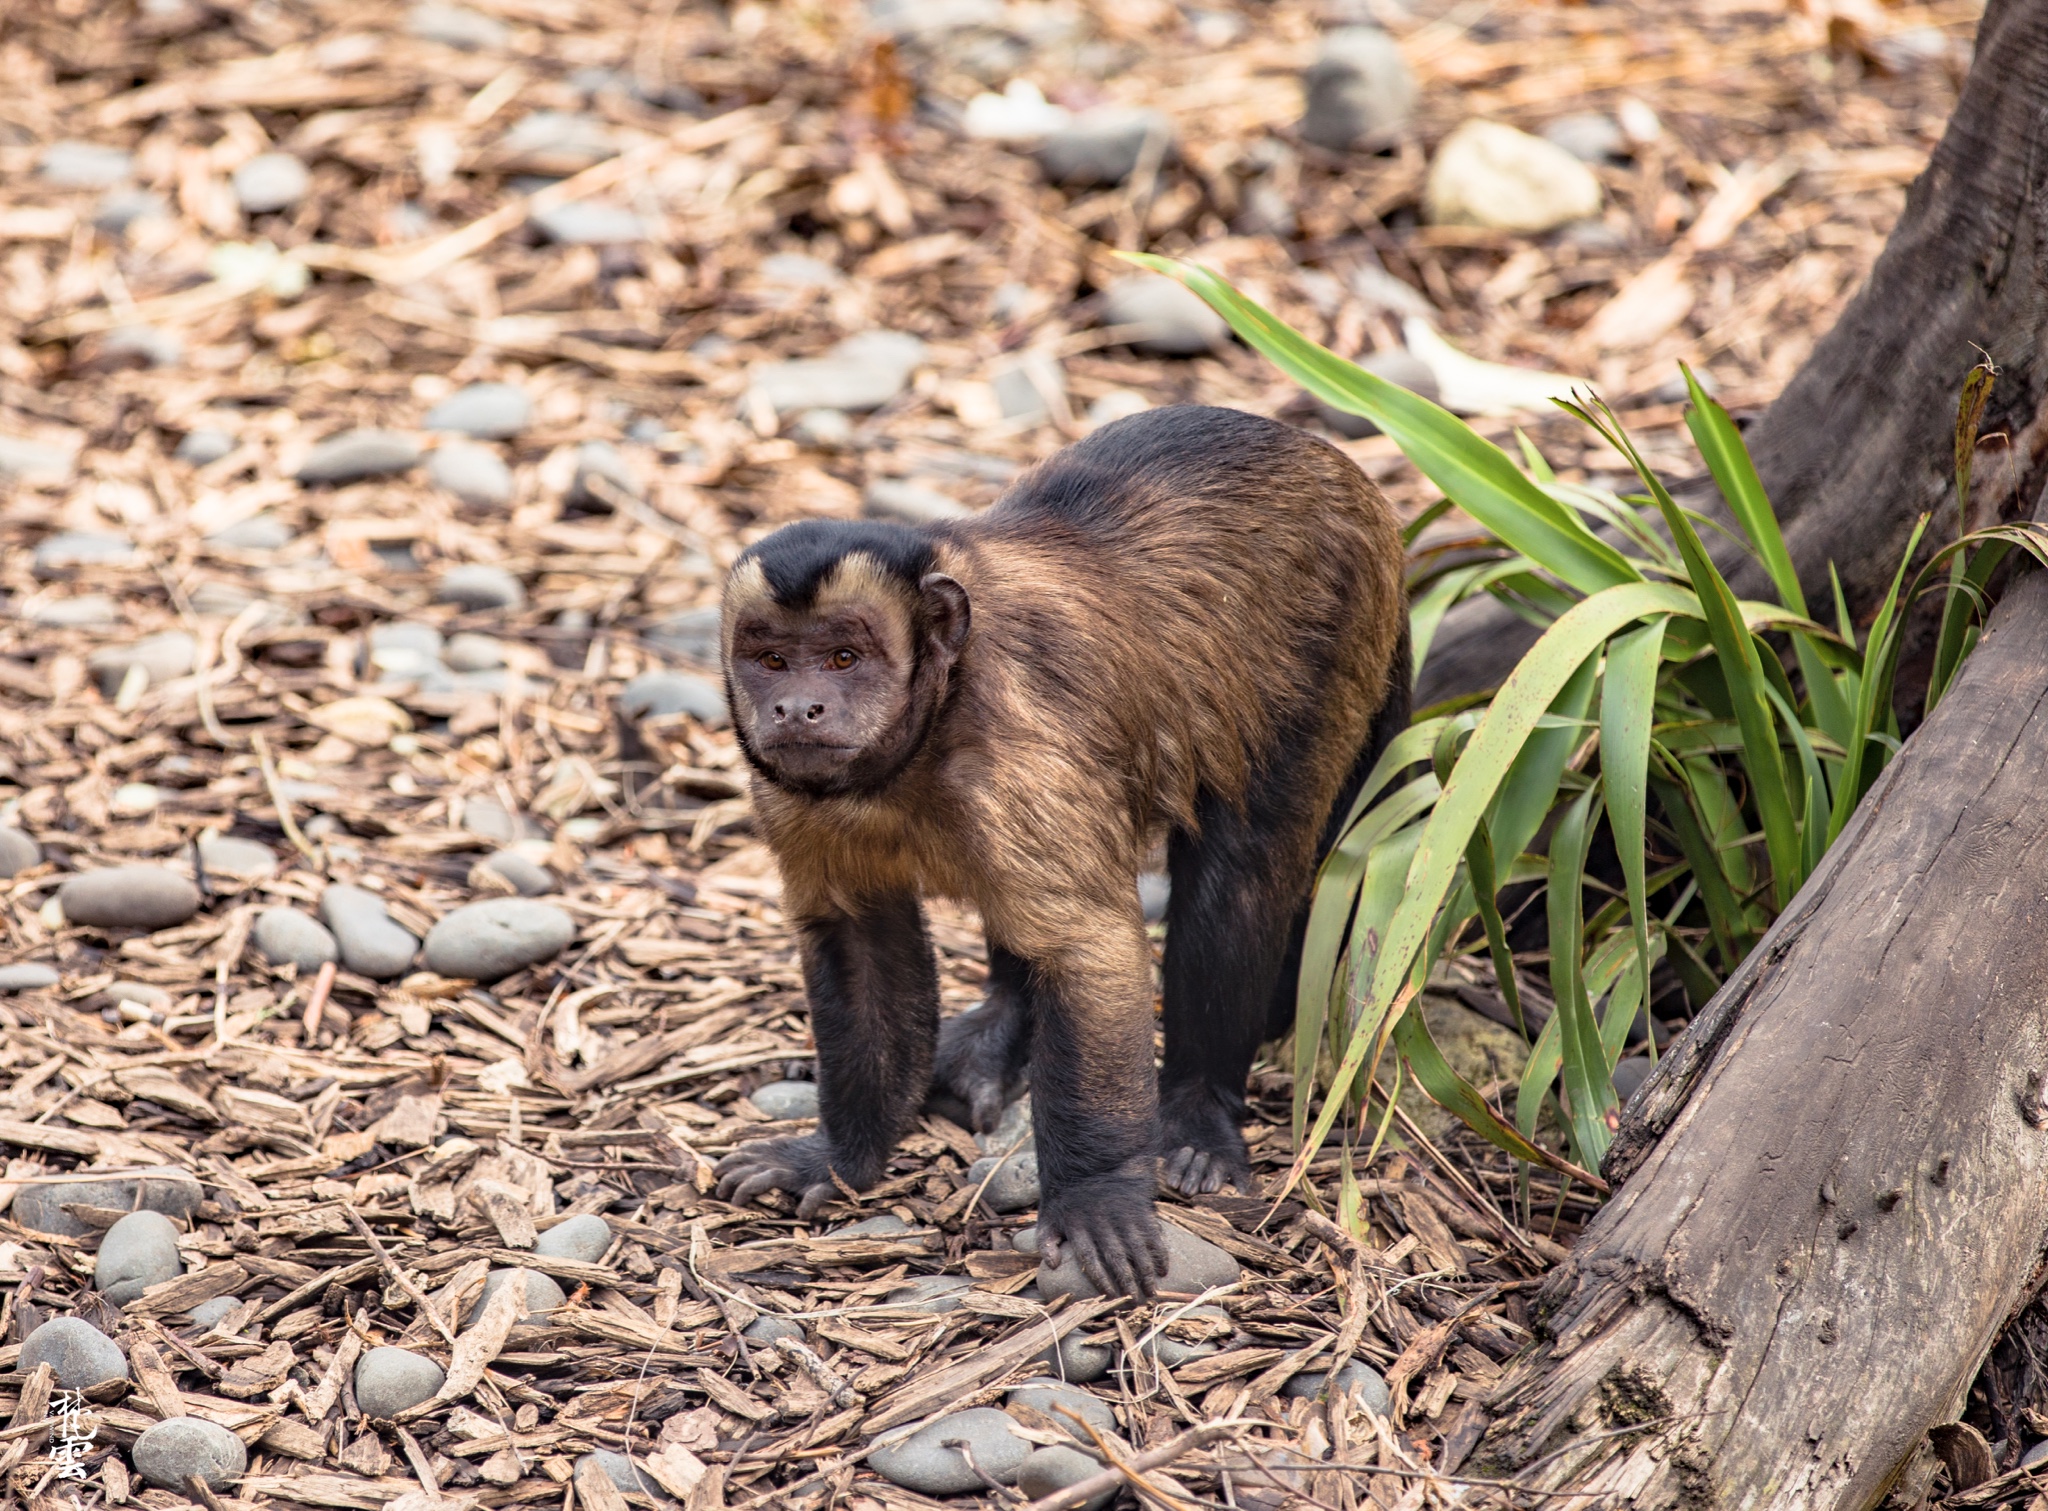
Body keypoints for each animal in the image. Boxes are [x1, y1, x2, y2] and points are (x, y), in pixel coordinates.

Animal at [712, 403, 1400, 1293]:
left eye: (843, 656)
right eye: (771, 659)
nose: (798, 707)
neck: (932, 725)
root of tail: (1351, 478)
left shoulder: (1020, 757)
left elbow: (1089, 948)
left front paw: (1097, 1193)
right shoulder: (793, 796)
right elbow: (859, 939)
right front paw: (836, 1155)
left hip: (1335, 627)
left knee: (1240, 868)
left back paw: (1197, 1108)